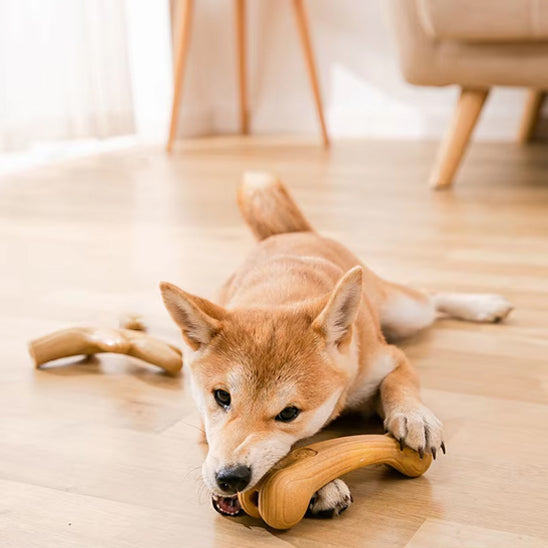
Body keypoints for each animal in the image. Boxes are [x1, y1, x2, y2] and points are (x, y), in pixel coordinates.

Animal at [161, 174, 512, 520]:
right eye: (222, 397)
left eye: (289, 413)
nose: (230, 478)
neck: (283, 292)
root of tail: (291, 233)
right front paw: (321, 485)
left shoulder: (390, 359)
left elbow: (398, 383)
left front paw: (414, 417)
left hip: (406, 313)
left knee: (430, 296)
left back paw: (485, 305)